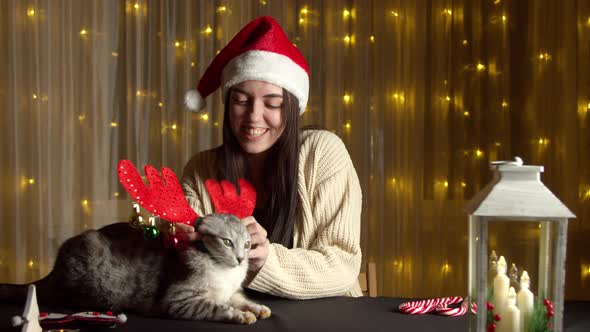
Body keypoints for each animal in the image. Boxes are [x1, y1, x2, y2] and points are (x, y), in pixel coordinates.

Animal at [0, 213, 272, 324]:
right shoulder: (181, 300)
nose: (241, 258)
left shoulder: (231, 292)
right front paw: (240, 316)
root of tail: (53, 273)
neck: (226, 273)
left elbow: (241, 300)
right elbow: (218, 308)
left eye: (248, 244)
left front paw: (257, 308)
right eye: (227, 242)